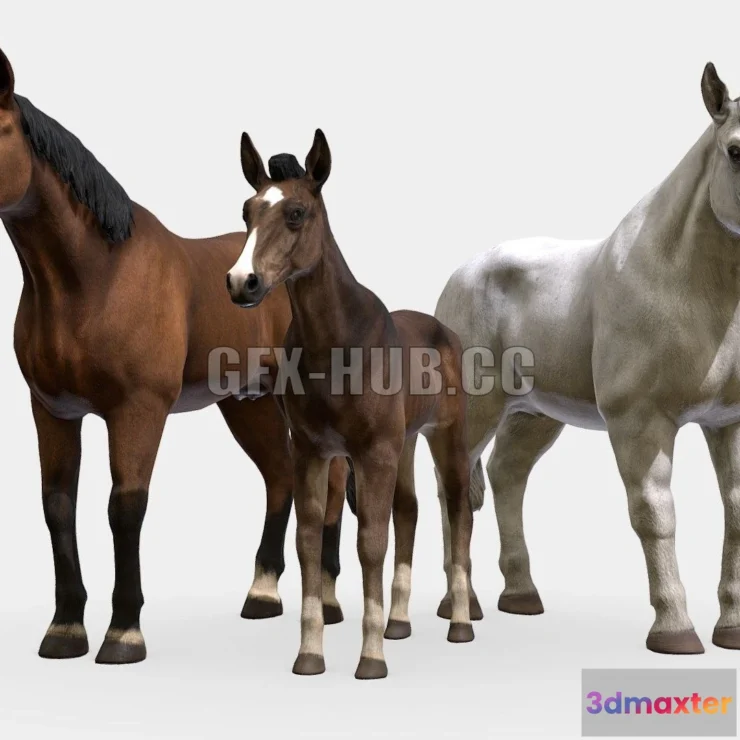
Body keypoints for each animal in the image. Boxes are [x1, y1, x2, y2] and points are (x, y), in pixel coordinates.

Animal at [0, 48, 349, 665]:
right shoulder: (53, 410)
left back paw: (326, 602)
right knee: (280, 475)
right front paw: (64, 629)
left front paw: (123, 633)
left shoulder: (137, 410)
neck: (93, 278)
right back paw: (262, 594)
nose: (242, 284)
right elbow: (57, 506)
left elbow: (125, 507)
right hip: (248, 403)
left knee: (327, 482)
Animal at [226, 131, 475, 679]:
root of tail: (444, 331)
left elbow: (370, 543)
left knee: (457, 512)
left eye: (296, 213)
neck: (336, 345)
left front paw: (371, 660)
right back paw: (399, 623)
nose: (241, 282)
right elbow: (309, 541)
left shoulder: (373, 452)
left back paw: (461, 625)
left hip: (446, 438)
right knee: (410, 511)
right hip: (405, 443)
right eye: (247, 211)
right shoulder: (312, 451)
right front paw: (309, 655)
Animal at [434, 61, 740, 655]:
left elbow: (736, 512)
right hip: (478, 411)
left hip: (534, 415)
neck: (688, 283)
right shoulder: (640, 422)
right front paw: (675, 629)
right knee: (453, 485)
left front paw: (732, 629)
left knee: (507, 475)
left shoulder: (729, 422)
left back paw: (520, 595)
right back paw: (462, 606)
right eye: (737, 150)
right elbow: (654, 514)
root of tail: (463, 274)